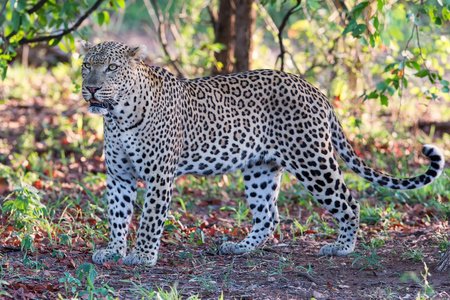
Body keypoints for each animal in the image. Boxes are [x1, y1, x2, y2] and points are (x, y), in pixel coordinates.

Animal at [81, 41, 446, 266]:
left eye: (112, 67)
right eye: (86, 66)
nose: (91, 88)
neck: (118, 117)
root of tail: (315, 90)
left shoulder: (159, 177)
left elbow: (149, 220)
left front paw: (142, 256)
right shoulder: (118, 177)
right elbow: (117, 216)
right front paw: (113, 251)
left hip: (312, 161)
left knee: (349, 202)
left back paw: (341, 248)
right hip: (260, 168)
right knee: (269, 216)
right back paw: (239, 247)